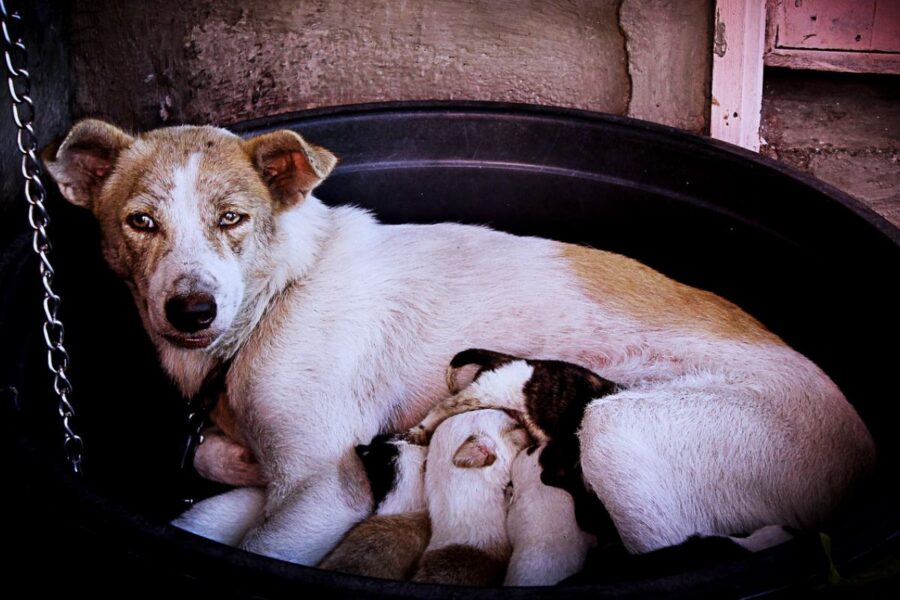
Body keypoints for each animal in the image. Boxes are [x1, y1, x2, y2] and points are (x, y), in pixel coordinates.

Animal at [40, 119, 872, 564]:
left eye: (232, 219)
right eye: (140, 222)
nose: (191, 310)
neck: (279, 294)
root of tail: (862, 447)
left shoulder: (325, 488)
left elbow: (267, 540)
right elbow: (222, 458)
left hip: (623, 433)